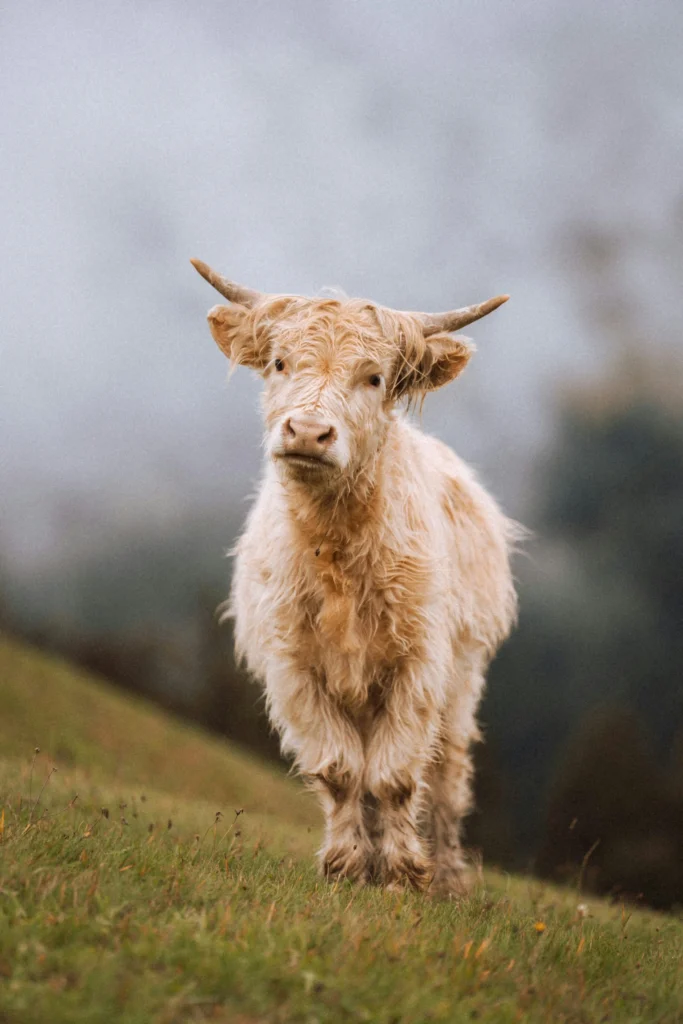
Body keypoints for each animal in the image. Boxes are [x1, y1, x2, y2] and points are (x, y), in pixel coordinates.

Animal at [192, 258, 520, 896]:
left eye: (373, 378)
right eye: (279, 362)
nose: (307, 433)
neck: (338, 548)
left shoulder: (419, 665)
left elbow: (395, 775)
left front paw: (404, 874)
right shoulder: (295, 668)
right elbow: (342, 770)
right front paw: (348, 866)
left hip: (462, 679)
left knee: (447, 773)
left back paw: (448, 877)